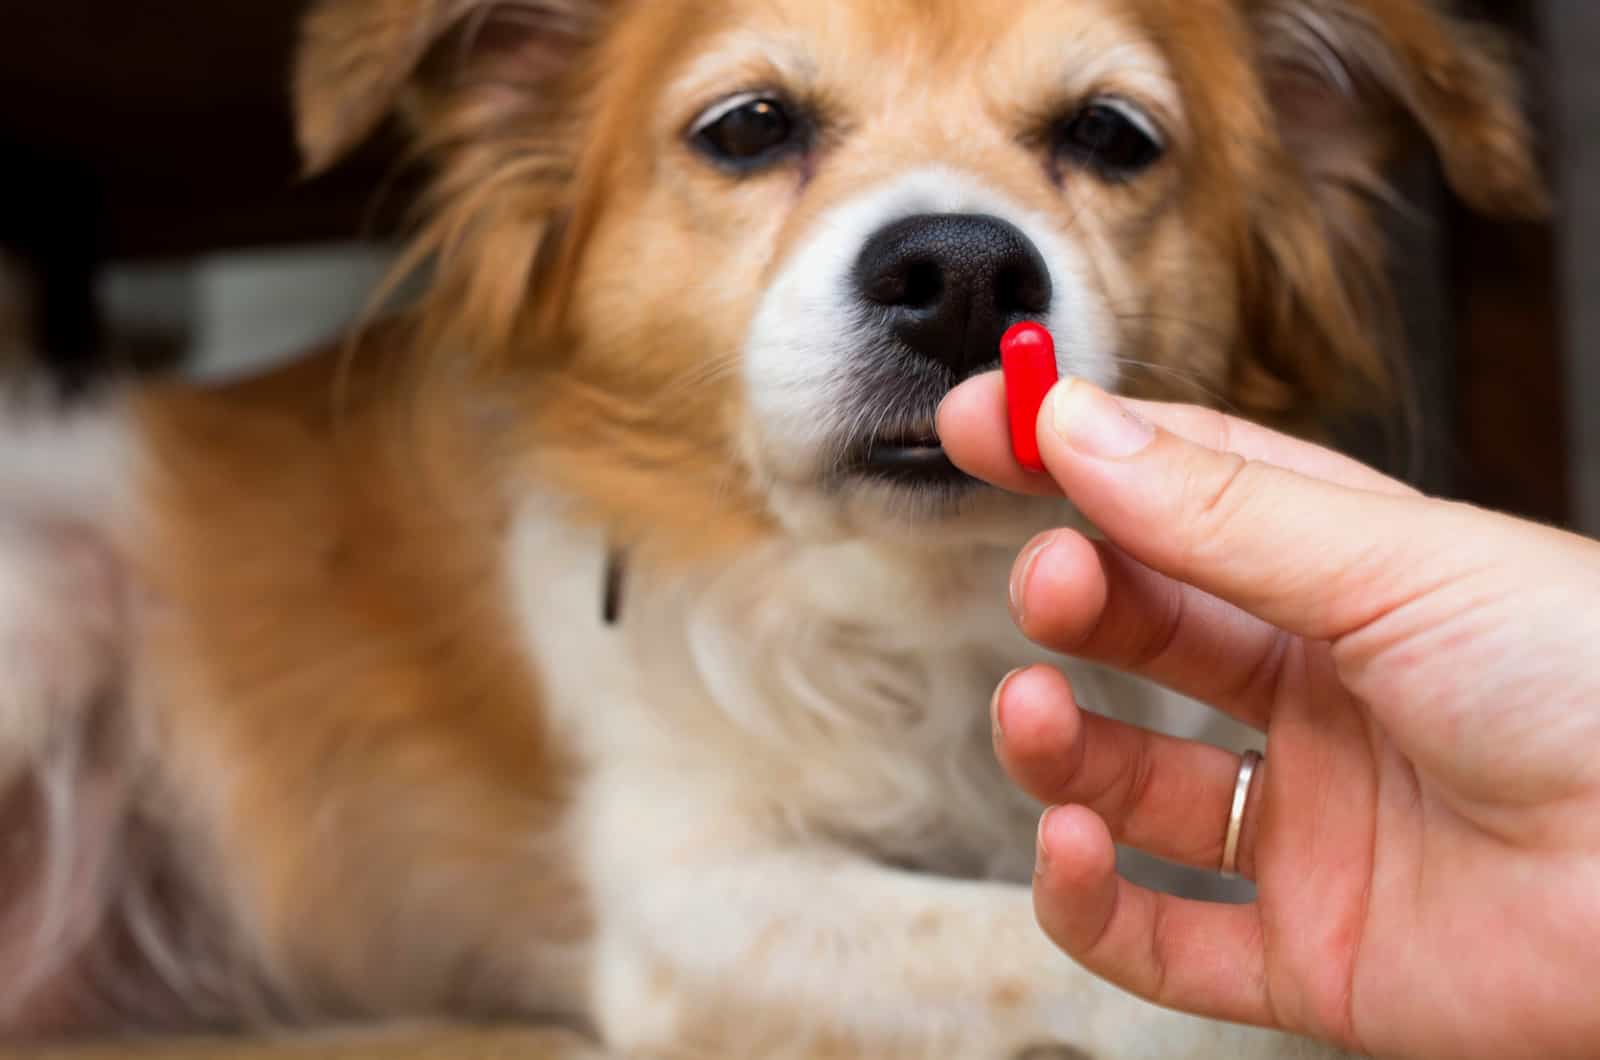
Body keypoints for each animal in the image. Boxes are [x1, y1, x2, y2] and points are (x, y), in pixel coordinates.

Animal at [0, 0, 1548, 1056]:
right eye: (748, 127)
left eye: (1110, 136)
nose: (960, 272)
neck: (923, 603)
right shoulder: (692, 895)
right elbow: (1053, 953)